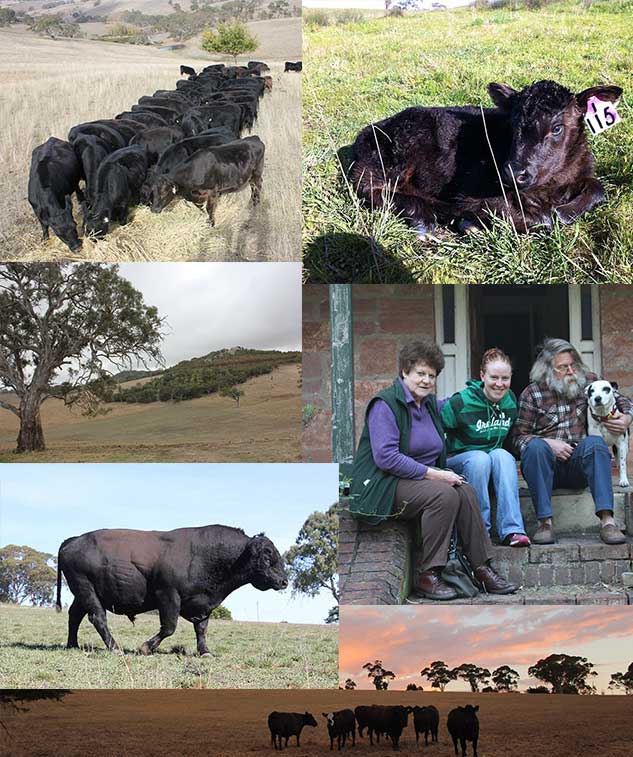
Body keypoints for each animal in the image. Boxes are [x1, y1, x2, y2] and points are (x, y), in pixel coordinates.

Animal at [56, 525, 288, 655]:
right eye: (267, 555)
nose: (285, 581)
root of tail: (73, 540)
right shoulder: (168, 596)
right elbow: (169, 627)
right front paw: (145, 647)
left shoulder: (202, 605)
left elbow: (201, 629)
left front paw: (205, 652)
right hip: (87, 590)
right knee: (98, 618)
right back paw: (115, 649)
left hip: (83, 594)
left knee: (74, 615)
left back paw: (72, 645)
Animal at [350, 80, 623, 238]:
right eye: (512, 124)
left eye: (557, 128)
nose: (514, 173)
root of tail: (367, 131)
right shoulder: (472, 191)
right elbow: (543, 219)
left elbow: (597, 188)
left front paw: (566, 211)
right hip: (393, 158)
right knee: (370, 188)